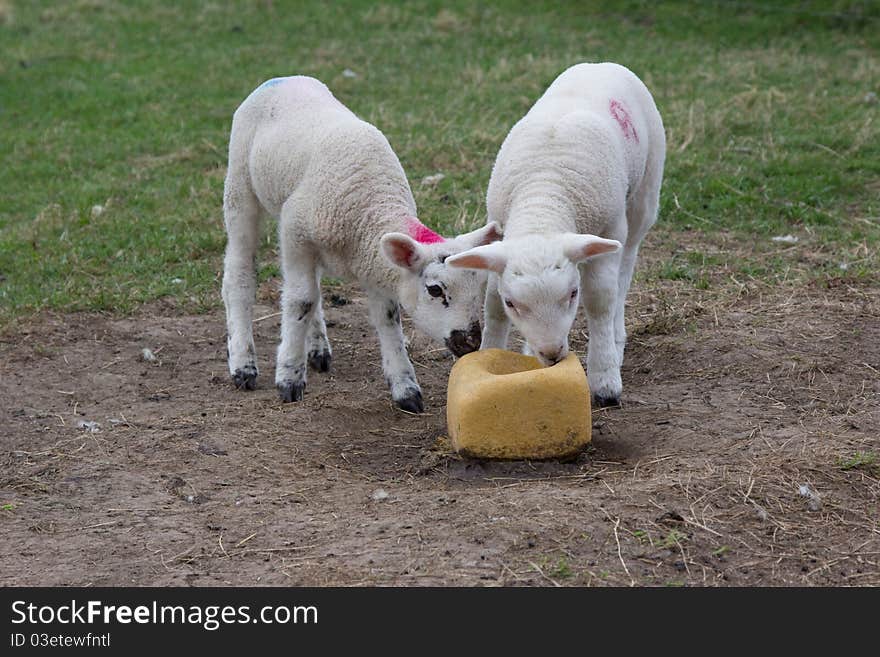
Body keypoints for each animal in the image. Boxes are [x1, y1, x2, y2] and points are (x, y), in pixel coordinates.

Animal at [222, 75, 502, 410]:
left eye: (480, 288)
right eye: (435, 290)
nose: (470, 343)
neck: (373, 207)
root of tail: (283, 78)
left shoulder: (372, 258)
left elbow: (387, 315)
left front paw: (405, 387)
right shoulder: (295, 233)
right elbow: (300, 301)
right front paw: (289, 377)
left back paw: (317, 349)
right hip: (240, 187)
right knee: (240, 273)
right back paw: (243, 364)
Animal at [450, 64, 664, 408]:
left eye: (573, 294)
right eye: (513, 303)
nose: (551, 354)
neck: (544, 195)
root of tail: (600, 64)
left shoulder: (609, 229)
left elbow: (601, 299)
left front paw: (605, 379)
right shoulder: (500, 238)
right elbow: (492, 305)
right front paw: (489, 355)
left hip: (643, 198)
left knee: (625, 271)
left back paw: (617, 338)